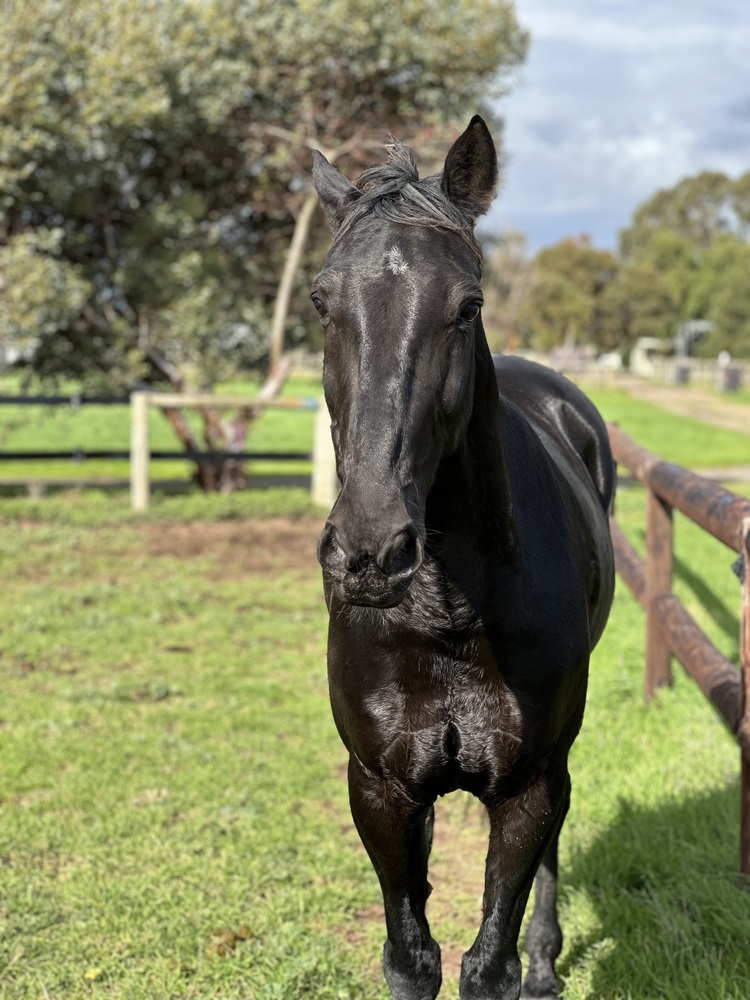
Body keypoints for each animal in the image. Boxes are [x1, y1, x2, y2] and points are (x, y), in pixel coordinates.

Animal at [311, 116, 615, 1000]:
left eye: (467, 306)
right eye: (321, 301)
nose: (370, 550)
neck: (446, 617)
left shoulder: (525, 786)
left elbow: (490, 963)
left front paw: (528, 962)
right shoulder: (381, 790)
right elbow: (411, 956)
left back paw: (548, 964)